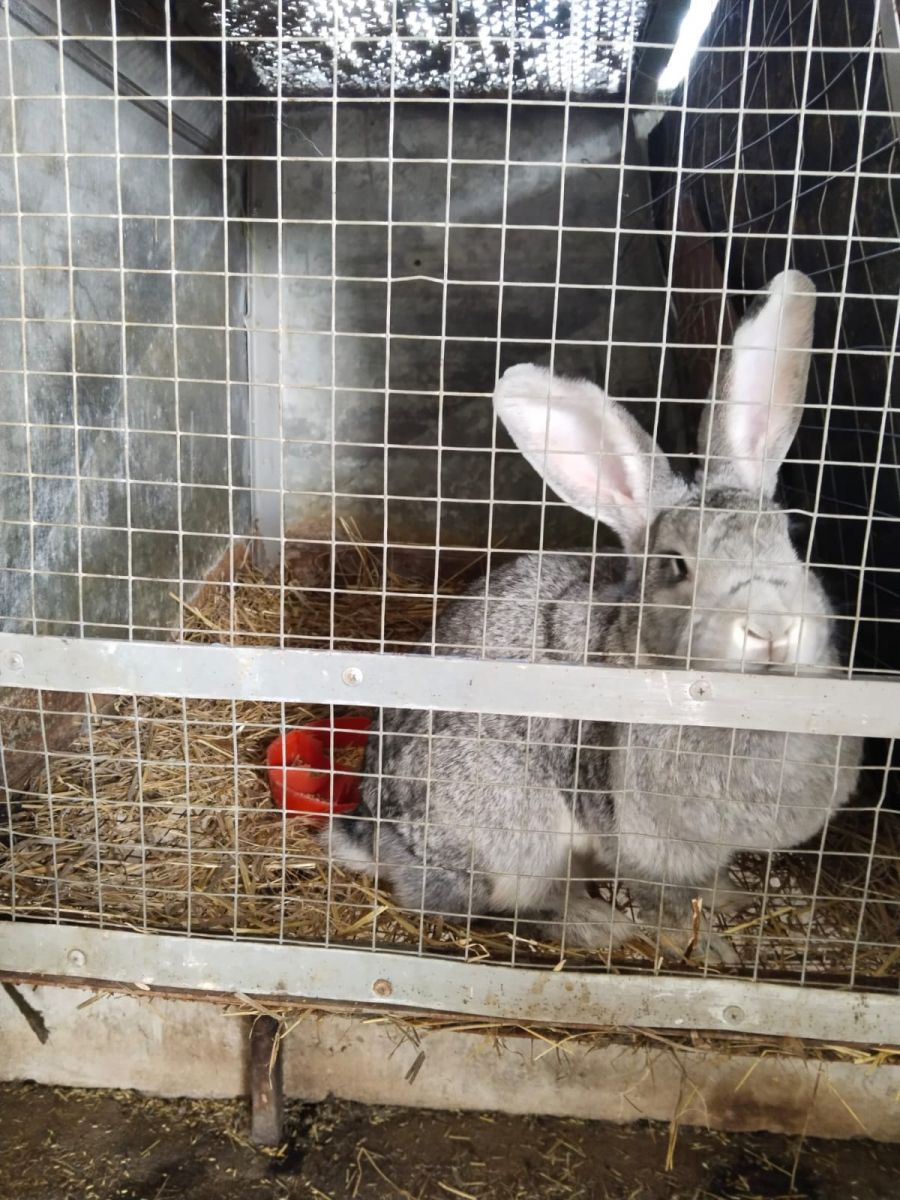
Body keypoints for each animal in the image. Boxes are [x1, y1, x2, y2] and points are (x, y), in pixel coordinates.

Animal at [322, 270, 862, 965]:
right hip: (513, 834)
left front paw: (727, 899)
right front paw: (709, 951)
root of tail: (376, 841)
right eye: (675, 566)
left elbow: (705, 884)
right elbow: (664, 902)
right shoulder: (644, 843)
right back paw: (594, 925)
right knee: (502, 906)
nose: (769, 628)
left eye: (791, 540)